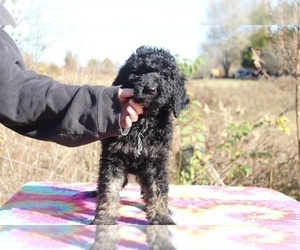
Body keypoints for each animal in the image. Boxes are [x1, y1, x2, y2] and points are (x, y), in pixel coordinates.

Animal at [91, 46, 189, 226]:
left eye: (165, 74)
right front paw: (104, 217)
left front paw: (162, 217)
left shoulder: (157, 160)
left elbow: (158, 189)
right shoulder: (113, 157)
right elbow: (109, 188)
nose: (150, 89)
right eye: (139, 72)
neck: (144, 121)